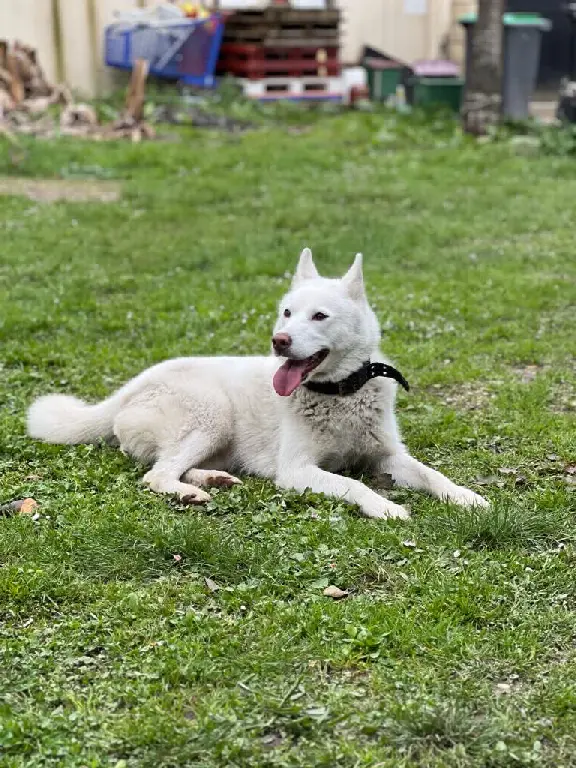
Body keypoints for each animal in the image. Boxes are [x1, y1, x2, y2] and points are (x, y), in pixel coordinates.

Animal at [27, 249, 486, 520]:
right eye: (287, 312)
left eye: (319, 316)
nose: (279, 341)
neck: (340, 395)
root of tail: (131, 387)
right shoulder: (297, 470)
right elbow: (352, 483)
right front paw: (384, 506)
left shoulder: (390, 457)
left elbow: (432, 475)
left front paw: (467, 497)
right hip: (212, 415)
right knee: (156, 475)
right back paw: (191, 493)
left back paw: (212, 480)